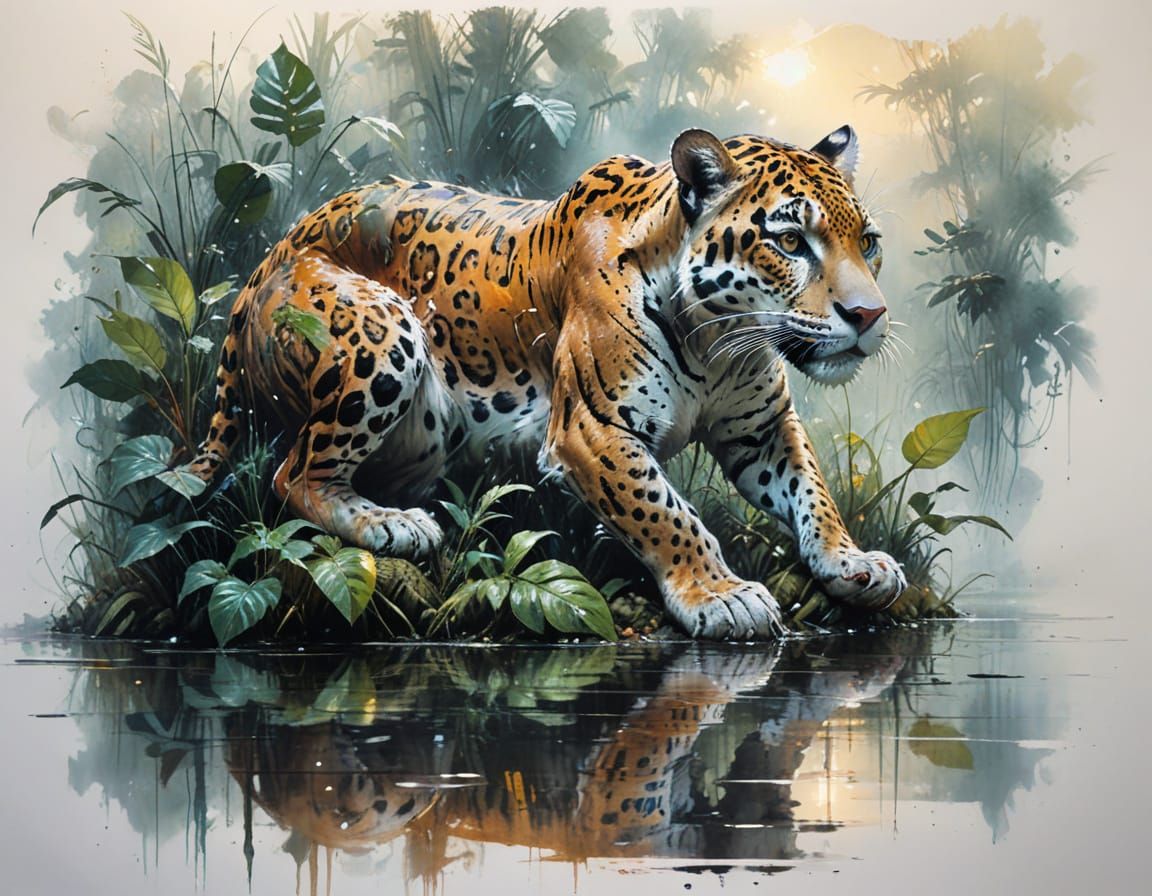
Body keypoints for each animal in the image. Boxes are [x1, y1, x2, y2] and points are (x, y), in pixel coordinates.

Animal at [184, 124, 907, 640]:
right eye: (790, 242)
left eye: (868, 241)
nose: (870, 315)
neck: (719, 346)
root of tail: (270, 256)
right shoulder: (593, 429)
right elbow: (667, 513)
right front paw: (722, 595)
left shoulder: (763, 428)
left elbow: (813, 492)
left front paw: (852, 562)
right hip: (381, 332)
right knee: (295, 474)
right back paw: (392, 525)